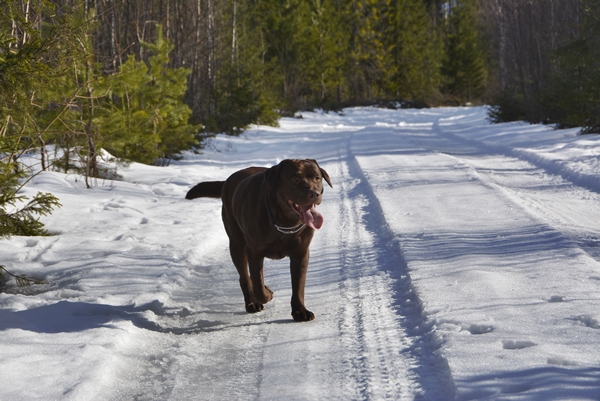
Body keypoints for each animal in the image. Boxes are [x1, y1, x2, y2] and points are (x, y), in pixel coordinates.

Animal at [185, 158, 330, 320]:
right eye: (294, 180)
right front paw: (267, 293)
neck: (284, 222)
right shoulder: (254, 252)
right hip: (236, 243)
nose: (314, 194)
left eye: (317, 178)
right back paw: (251, 303)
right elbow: (258, 286)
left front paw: (300, 311)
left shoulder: (301, 252)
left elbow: (298, 284)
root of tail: (228, 180)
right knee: (244, 276)